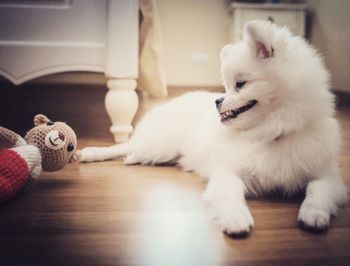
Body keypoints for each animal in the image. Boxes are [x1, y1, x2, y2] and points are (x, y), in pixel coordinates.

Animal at [81, 20, 348, 237]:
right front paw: (236, 219)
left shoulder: (327, 175)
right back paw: (93, 153)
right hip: (160, 145)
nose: (217, 101)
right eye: (227, 86)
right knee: (125, 145)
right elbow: (231, 195)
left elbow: (318, 191)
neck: (271, 133)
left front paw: (314, 215)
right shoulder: (228, 172)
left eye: (240, 84)